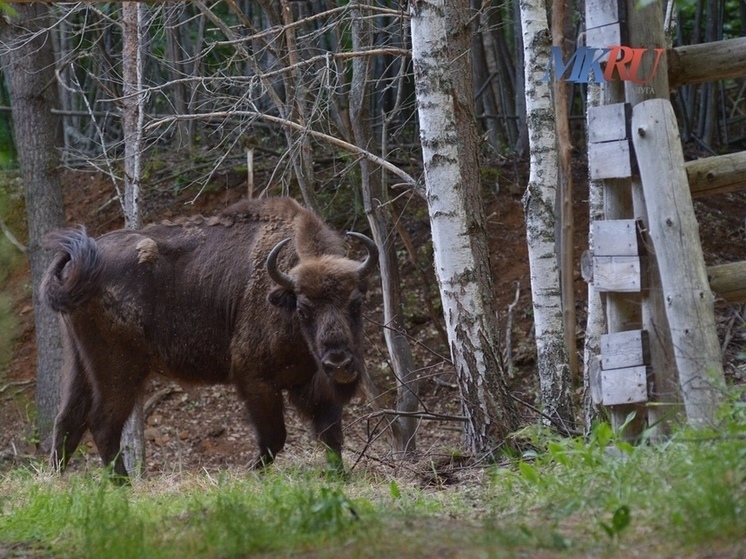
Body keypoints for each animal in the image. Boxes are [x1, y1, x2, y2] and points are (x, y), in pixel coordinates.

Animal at [41, 195, 378, 480]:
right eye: (303, 309)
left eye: (356, 303)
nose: (339, 363)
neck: (283, 295)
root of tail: (81, 262)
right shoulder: (255, 378)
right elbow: (274, 437)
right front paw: (249, 474)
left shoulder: (313, 386)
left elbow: (330, 435)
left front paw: (339, 477)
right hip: (120, 370)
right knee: (102, 423)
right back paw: (122, 485)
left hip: (81, 364)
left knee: (68, 419)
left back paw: (56, 482)